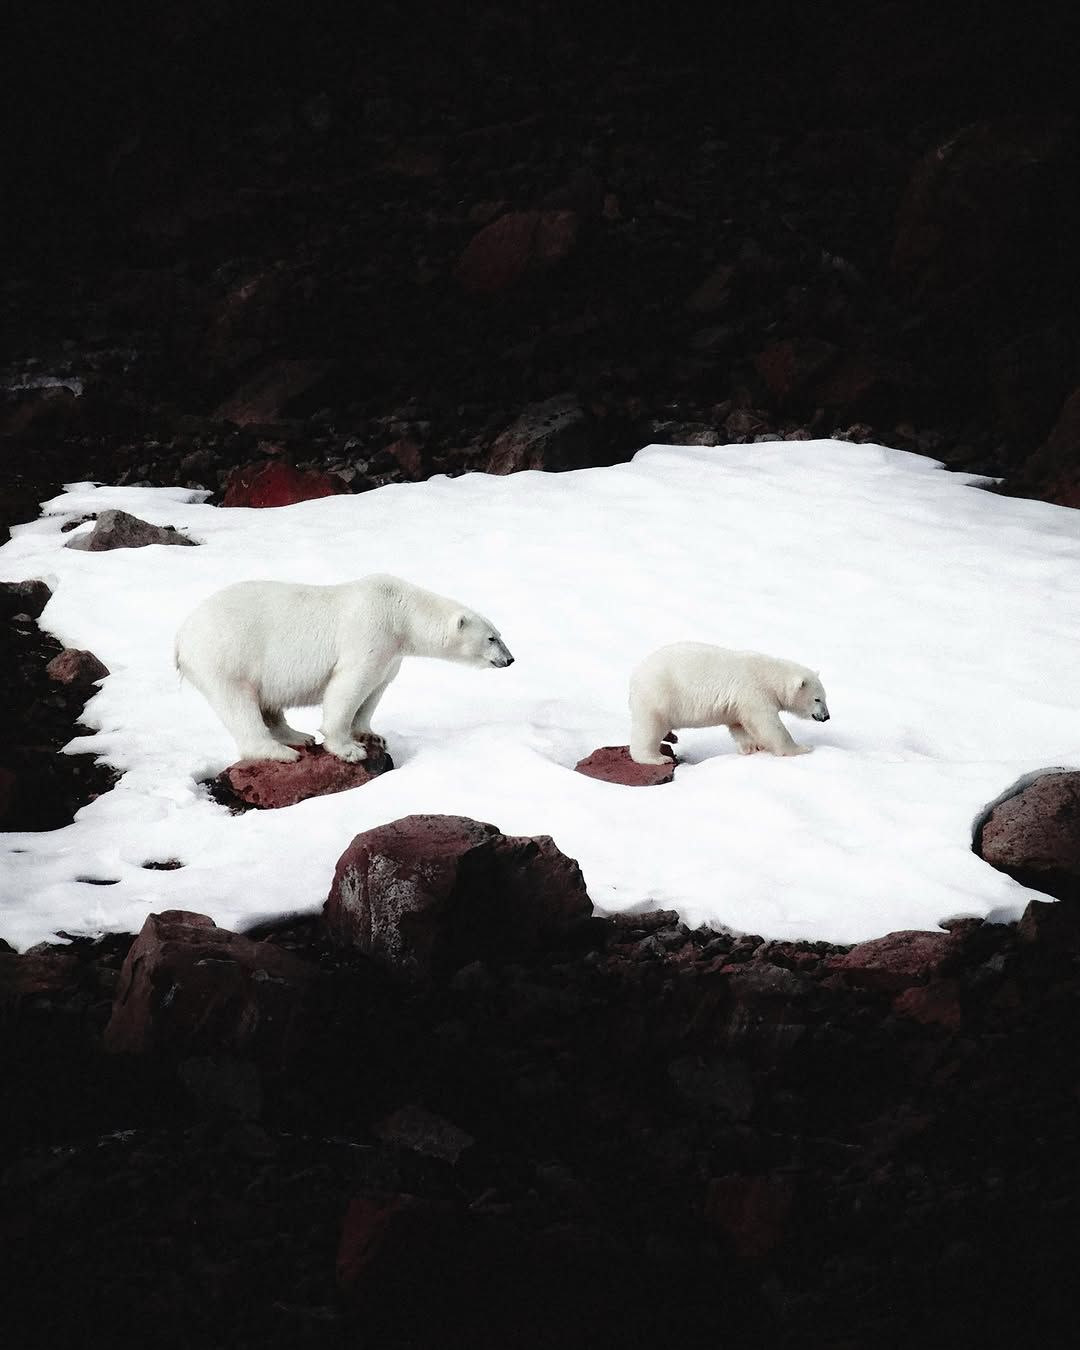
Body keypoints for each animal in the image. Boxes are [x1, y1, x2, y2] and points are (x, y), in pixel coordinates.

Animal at [175, 573, 514, 764]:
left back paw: (296, 736)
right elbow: (348, 686)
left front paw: (370, 735)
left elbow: (376, 689)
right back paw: (280, 752)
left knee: (268, 703)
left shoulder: (391, 654)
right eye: (492, 638)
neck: (400, 613)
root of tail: (181, 637)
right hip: (227, 656)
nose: (510, 660)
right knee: (239, 704)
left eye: (500, 634)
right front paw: (349, 749)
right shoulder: (370, 633)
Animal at [628, 641, 829, 765]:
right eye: (817, 699)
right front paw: (803, 748)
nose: (826, 716)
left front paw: (753, 748)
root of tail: (635, 677)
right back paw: (657, 758)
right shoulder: (754, 692)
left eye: (825, 697)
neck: (770, 676)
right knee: (649, 729)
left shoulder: (737, 705)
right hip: (658, 697)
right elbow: (768, 725)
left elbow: (740, 725)